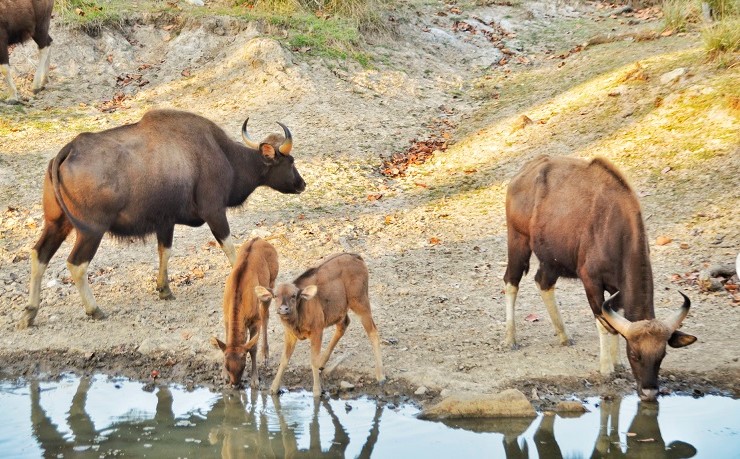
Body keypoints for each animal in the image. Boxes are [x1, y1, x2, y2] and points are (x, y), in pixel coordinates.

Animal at [211, 239, 278, 390]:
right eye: (227, 366)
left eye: (242, 366)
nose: (235, 384)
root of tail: (259, 239)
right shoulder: (226, 317)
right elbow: (227, 340)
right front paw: (223, 375)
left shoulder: (255, 320)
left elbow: (252, 347)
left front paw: (255, 380)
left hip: (271, 283)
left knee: (266, 315)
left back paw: (265, 355)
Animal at [258, 253, 388, 398]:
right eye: (275, 295)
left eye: (294, 295)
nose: (283, 309)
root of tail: (356, 256)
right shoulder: (290, 334)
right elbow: (284, 360)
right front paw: (274, 388)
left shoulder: (317, 331)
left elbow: (313, 360)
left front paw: (317, 391)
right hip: (341, 310)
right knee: (344, 325)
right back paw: (323, 363)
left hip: (360, 303)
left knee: (373, 331)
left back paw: (380, 376)